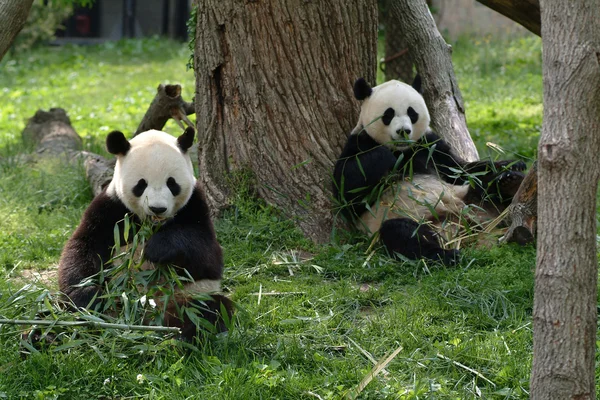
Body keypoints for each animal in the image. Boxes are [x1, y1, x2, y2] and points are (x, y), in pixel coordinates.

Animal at [57, 128, 233, 340]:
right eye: (141, 184)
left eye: (172, 183)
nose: (157, 208)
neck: (151, 225)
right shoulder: (110, 208)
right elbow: (83, 248)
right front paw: (88, 299)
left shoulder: (195, 206)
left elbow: (207, 256)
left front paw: (158, 249)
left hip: (187, 296)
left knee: (208, 310)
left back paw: (182, 336)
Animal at [332, 77, 524, 266]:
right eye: (388, 114)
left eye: (412, 113)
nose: (403, 131)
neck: (403, 150)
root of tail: (464, 228)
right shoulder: (359, 142)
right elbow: (347, 192)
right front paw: (385, 156)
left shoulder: (430, 145)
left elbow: (459, 169)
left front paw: (512, 164)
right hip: (405, 218)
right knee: (404, 233)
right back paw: (446, 255)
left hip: (469, 198)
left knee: (483, 187)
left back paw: (509, 182)